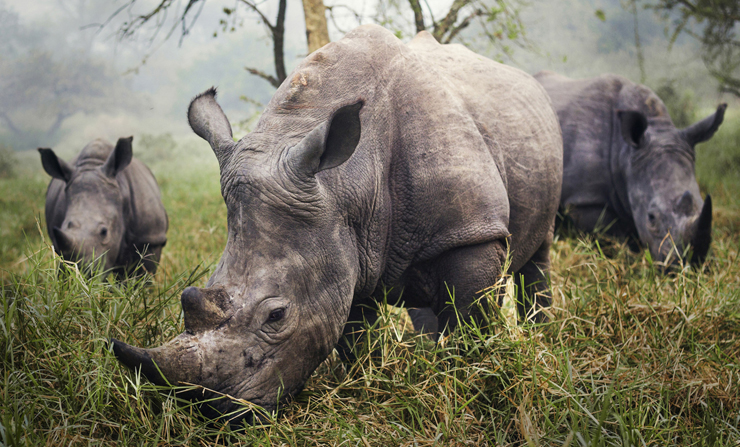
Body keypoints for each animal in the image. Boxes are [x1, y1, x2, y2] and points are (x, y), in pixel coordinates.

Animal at [112, 25, 562, 422]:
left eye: (276, 316)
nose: (216, 413)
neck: (346, 182)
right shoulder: (346, 245)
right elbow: (353, 336)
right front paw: (368, 385)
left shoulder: (470, 232)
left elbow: (467, 319)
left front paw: (465, 383)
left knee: (534, 256)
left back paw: (538, 337)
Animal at [534, 71, 724, 266]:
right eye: (651, 217)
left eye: (701, 203)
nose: (690, 263)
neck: (626, 153)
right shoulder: (585, 199)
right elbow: (610, 234)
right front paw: (627, 256)